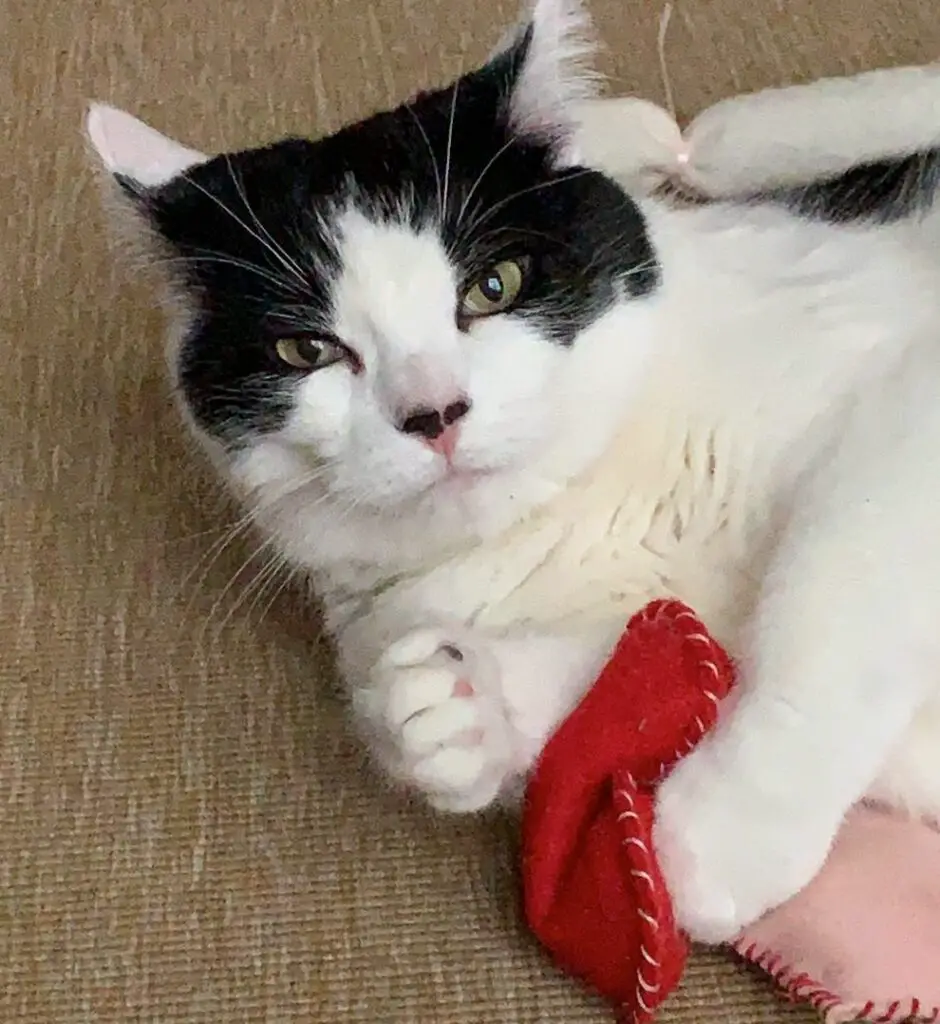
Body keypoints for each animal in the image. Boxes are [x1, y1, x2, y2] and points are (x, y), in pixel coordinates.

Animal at [86, 0, 940, 942]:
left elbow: (833, 592)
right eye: (308, 351)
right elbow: (652, 671)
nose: (434, 414)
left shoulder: (908, 404)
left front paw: (720, 834)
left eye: (492, 287)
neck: (589, 508)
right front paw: (462, 705)